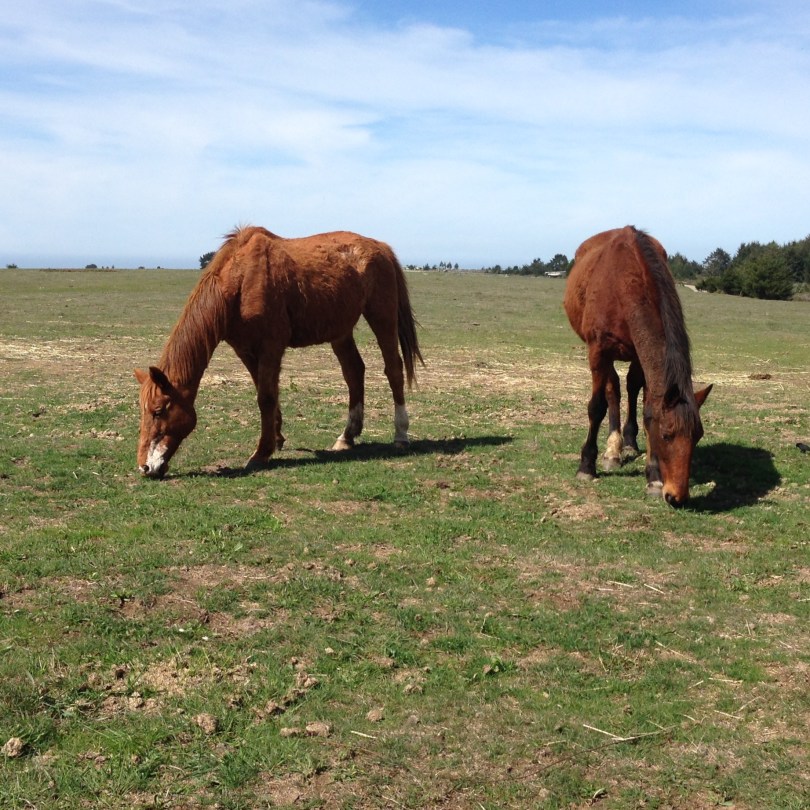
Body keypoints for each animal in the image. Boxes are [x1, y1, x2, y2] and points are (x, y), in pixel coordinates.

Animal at [134, 226, 423, 478]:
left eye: (158, 411)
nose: (144, 467)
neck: (240, 281)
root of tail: (381, 247)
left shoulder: (271, 346)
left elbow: (266, 397)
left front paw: (261, 453)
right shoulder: (245, 350)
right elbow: (265, 391)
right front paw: (276, 437)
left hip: (382, 317)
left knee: (393, 369)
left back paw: (401, 434)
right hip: (340, 331)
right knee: (354, 372)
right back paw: (347, 436)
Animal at [563, 226, 712, 507]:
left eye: (697, 436)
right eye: (667, 435)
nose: (677, 496)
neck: (623, 283)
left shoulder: (642, 356)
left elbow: (648, 410)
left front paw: (653, 477)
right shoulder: (598, 351)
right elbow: (597, 406)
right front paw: (587, 465)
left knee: (629, 388)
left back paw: (628, 442)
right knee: (612, 390)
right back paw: (613, 450)